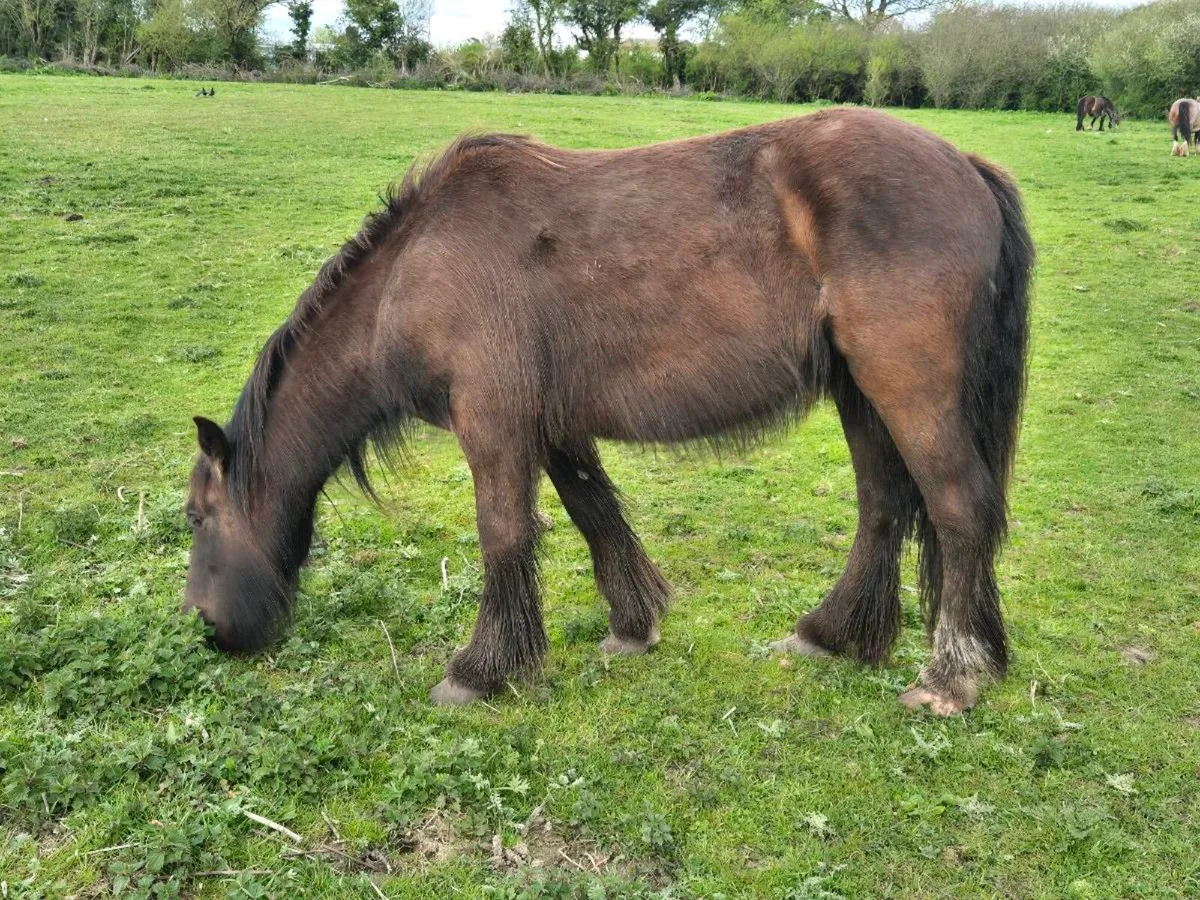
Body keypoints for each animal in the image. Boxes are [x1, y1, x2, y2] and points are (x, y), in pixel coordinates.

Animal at [184, 107, 1034, 717]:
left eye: (196, 516)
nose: (207, 629)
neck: (415, 271)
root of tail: (966, 164)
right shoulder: (553, 425)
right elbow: (596, 514)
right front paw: (633, 625)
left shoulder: (491, 421)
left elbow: (504, 533)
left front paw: (481, 670)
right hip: (861, 392)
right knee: (883, 508)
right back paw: (830, 635)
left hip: (907, 386)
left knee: (957, 507)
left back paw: (951, 679)